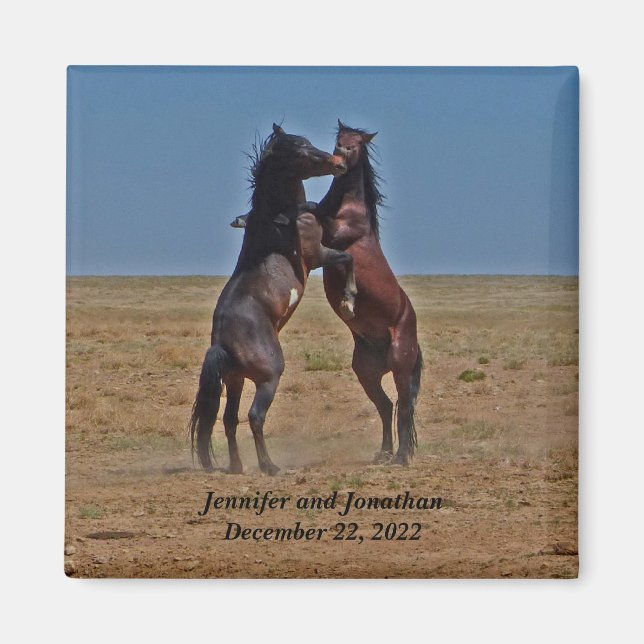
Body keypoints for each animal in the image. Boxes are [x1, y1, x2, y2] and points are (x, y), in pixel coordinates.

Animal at [190, 124, 356, 475]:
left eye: (309, 142)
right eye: (300, 152)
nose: (338, 163)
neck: (278, 216)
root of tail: (221, 342)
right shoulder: (318, 256)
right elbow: (347, 257)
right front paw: (349, 301)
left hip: (235, 380)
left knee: (229, 420)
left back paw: (237, 467)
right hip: (268, 377)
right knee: (254, 417)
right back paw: (270, 466)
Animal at [316, 120, 423, 466]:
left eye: (356, 144)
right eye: (338, 140)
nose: (338, 160)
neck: (349, 207)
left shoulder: (334, 235)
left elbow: (309, 211)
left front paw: (349, 299)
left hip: (400, 366)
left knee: (404, 407)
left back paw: (400, 458)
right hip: (366, 372)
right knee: (386, 406)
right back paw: (383, 453)